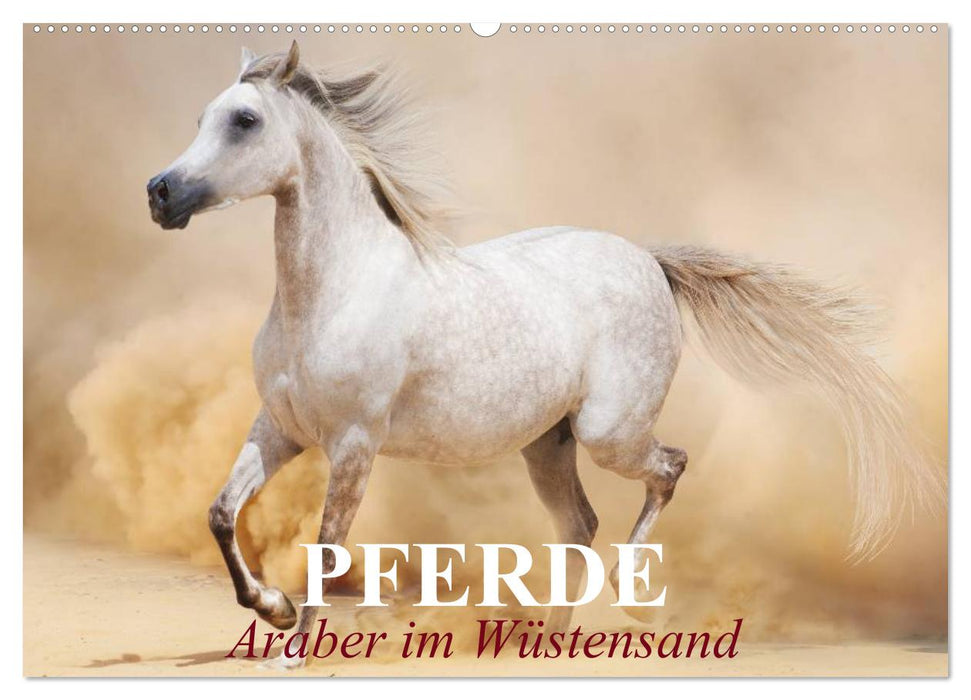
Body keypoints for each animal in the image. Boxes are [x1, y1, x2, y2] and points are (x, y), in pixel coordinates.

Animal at [147, 42, 941, 668]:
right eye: (201, 118)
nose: (160, 193)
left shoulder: (352, 444)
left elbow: (328, 544)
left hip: (607, 433)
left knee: (667, 469)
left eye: (245, 121)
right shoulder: (280, 430)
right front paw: (274, 610)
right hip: (546, 444)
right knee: (578, 524)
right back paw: (548, 639)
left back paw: (631, 599)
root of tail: (649, 261)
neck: (335, 290)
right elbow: (221, 514)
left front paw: (294, 650)